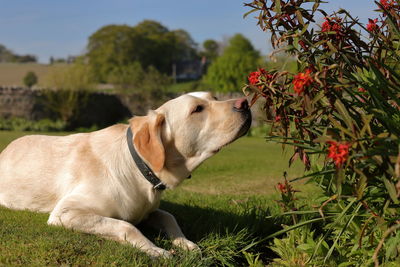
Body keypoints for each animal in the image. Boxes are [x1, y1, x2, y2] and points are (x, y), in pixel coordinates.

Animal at [0, 91, 250, 258]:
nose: (245, 102)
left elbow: (169, 216)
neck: (138, 168)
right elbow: (126, 226)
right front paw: (155, 249)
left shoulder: (149, 210)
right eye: (197, 109)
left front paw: (185, 243)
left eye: (214, 97)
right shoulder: (65, 213)